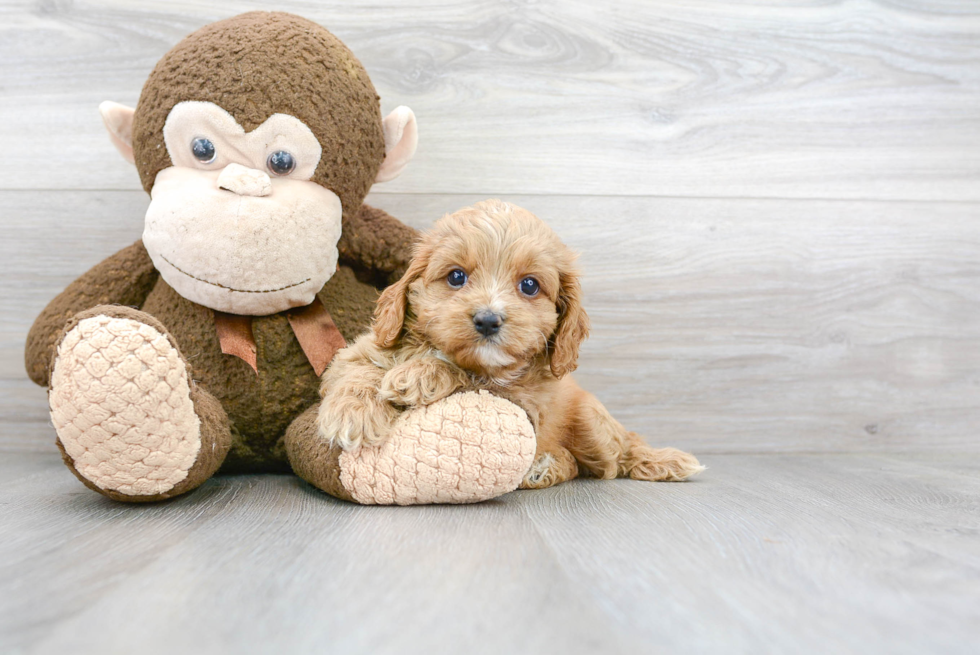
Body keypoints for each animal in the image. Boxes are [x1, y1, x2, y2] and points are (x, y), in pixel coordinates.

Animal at [318, 202, 700, 490]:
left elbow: (469, 375)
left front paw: (420, 374)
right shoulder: (359, 351)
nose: (488, 320)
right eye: (456, 276)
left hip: (593, 424)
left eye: (529, 285)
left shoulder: (521, 403)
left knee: (609, 461)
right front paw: (353, 414)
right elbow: (358, 372)